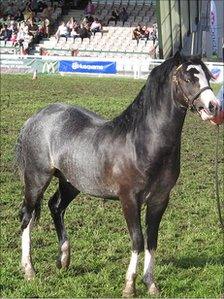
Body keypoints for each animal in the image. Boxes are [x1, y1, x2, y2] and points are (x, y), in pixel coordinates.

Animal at [16, 52, 220, 298]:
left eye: (207, 75)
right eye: (188, 78)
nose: (213, 106)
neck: (142, 143)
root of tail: (36, 118)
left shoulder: (160, 200)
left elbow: (152, 240)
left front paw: (151, 284)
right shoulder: (129, 199)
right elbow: (137, 239)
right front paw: (130, 285)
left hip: (70, 183)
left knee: (56, 207)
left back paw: (63, 260)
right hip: (37, 179)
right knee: (27, 217)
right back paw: (29, 270)